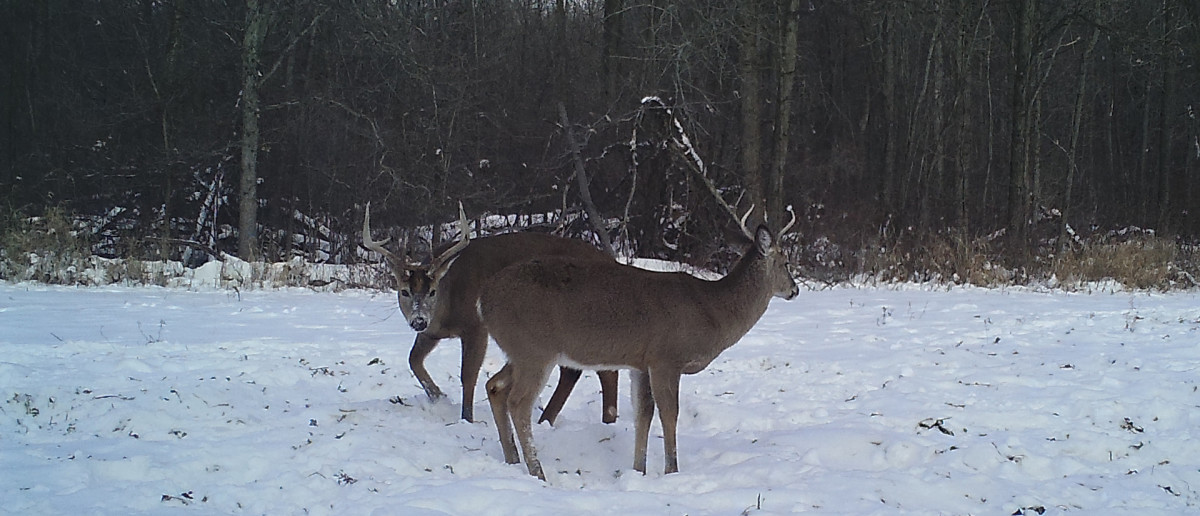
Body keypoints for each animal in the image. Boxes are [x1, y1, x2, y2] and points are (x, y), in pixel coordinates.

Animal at [360, 204, 619, 424]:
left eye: (432, 291)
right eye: (404, 291)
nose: (419, 320)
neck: (448, 303)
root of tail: (611, 260)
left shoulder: (476, 326)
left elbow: (467, 375)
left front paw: (466, 418)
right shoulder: (432, 333)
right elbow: (413, 360)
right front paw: (439, 397)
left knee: (604, 370)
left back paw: (606, 421)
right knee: (573, 371)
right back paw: (547, 420)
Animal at [477, 205, 796, 480]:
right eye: (785, 262)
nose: (795, 290)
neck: (713, 310)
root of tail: (484, 300)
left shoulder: (642, 363)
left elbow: (644, 413)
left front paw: (638, 469)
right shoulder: (667, 357)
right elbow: (669, 413)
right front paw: (671, 470)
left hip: (518, 351)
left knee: (494, 386)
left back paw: (512, 459)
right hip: (534, 349)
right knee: (518, 402)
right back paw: (537, 471)